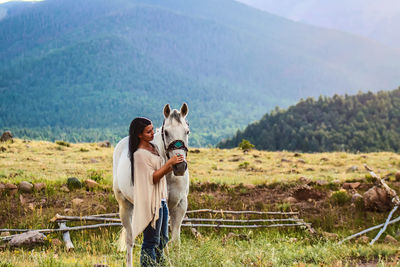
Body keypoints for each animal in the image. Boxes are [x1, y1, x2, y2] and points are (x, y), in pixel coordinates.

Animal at [112, 103, 191, 267]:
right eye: (166, 132)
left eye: (187, 131)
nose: (180, 167)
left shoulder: (179, 206)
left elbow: (174, 242)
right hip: (125, 206)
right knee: (130, 239)